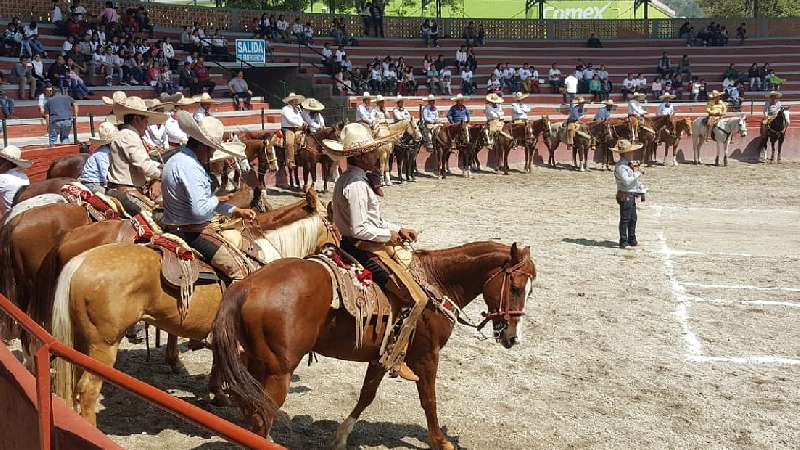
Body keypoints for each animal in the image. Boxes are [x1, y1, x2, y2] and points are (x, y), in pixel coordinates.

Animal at [49, 192, 338, 424]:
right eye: (333, 224)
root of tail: (80, 261)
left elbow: (218, 360)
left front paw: (216, 392)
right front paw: (222, 393)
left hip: (81, 340)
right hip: (103, 346)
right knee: (87, 390)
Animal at [212, 243, 536, 450]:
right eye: (517, 287)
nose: (512, 337)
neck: (437, 281)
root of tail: (246, 286)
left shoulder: (382, 356)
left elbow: (366, 395)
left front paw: (341, 437)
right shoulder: (427, 356)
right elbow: (429, 400)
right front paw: (441, 441)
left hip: (254, 364)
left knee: (250, 410)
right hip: (279, 373)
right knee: (261, 417)